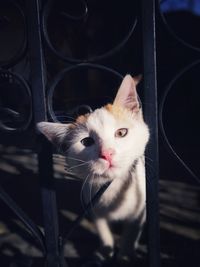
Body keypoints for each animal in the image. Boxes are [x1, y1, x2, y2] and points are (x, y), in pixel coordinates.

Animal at [38, 74, 150, 264]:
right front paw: (105, 251)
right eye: (86, 142)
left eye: (121, 133)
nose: (107, 153)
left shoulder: (139, 212)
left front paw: (125, 254)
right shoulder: (94, 208)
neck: (113, 189)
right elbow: (103, 230)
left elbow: (131, 232)